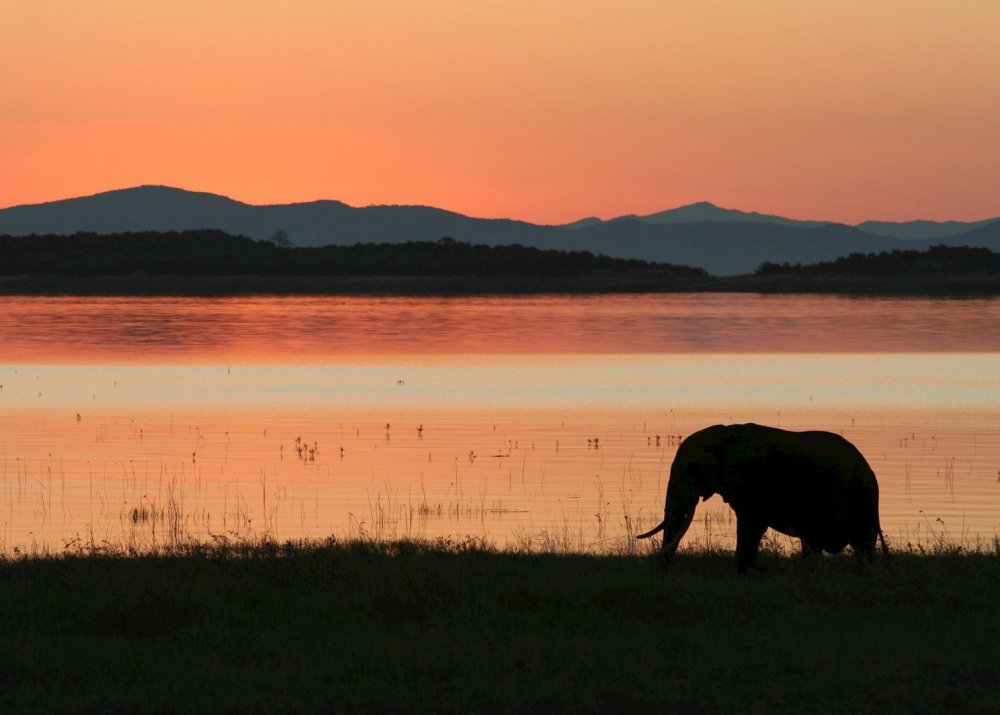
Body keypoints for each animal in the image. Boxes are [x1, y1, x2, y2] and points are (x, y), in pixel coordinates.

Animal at [636, 426, 888, 572]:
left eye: (692, 469)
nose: (662, 569)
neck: (723, 437)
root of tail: (871, 472)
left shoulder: (752, 481)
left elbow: (751, 525)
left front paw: (746, 572)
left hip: (860, 499)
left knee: (863, 544)